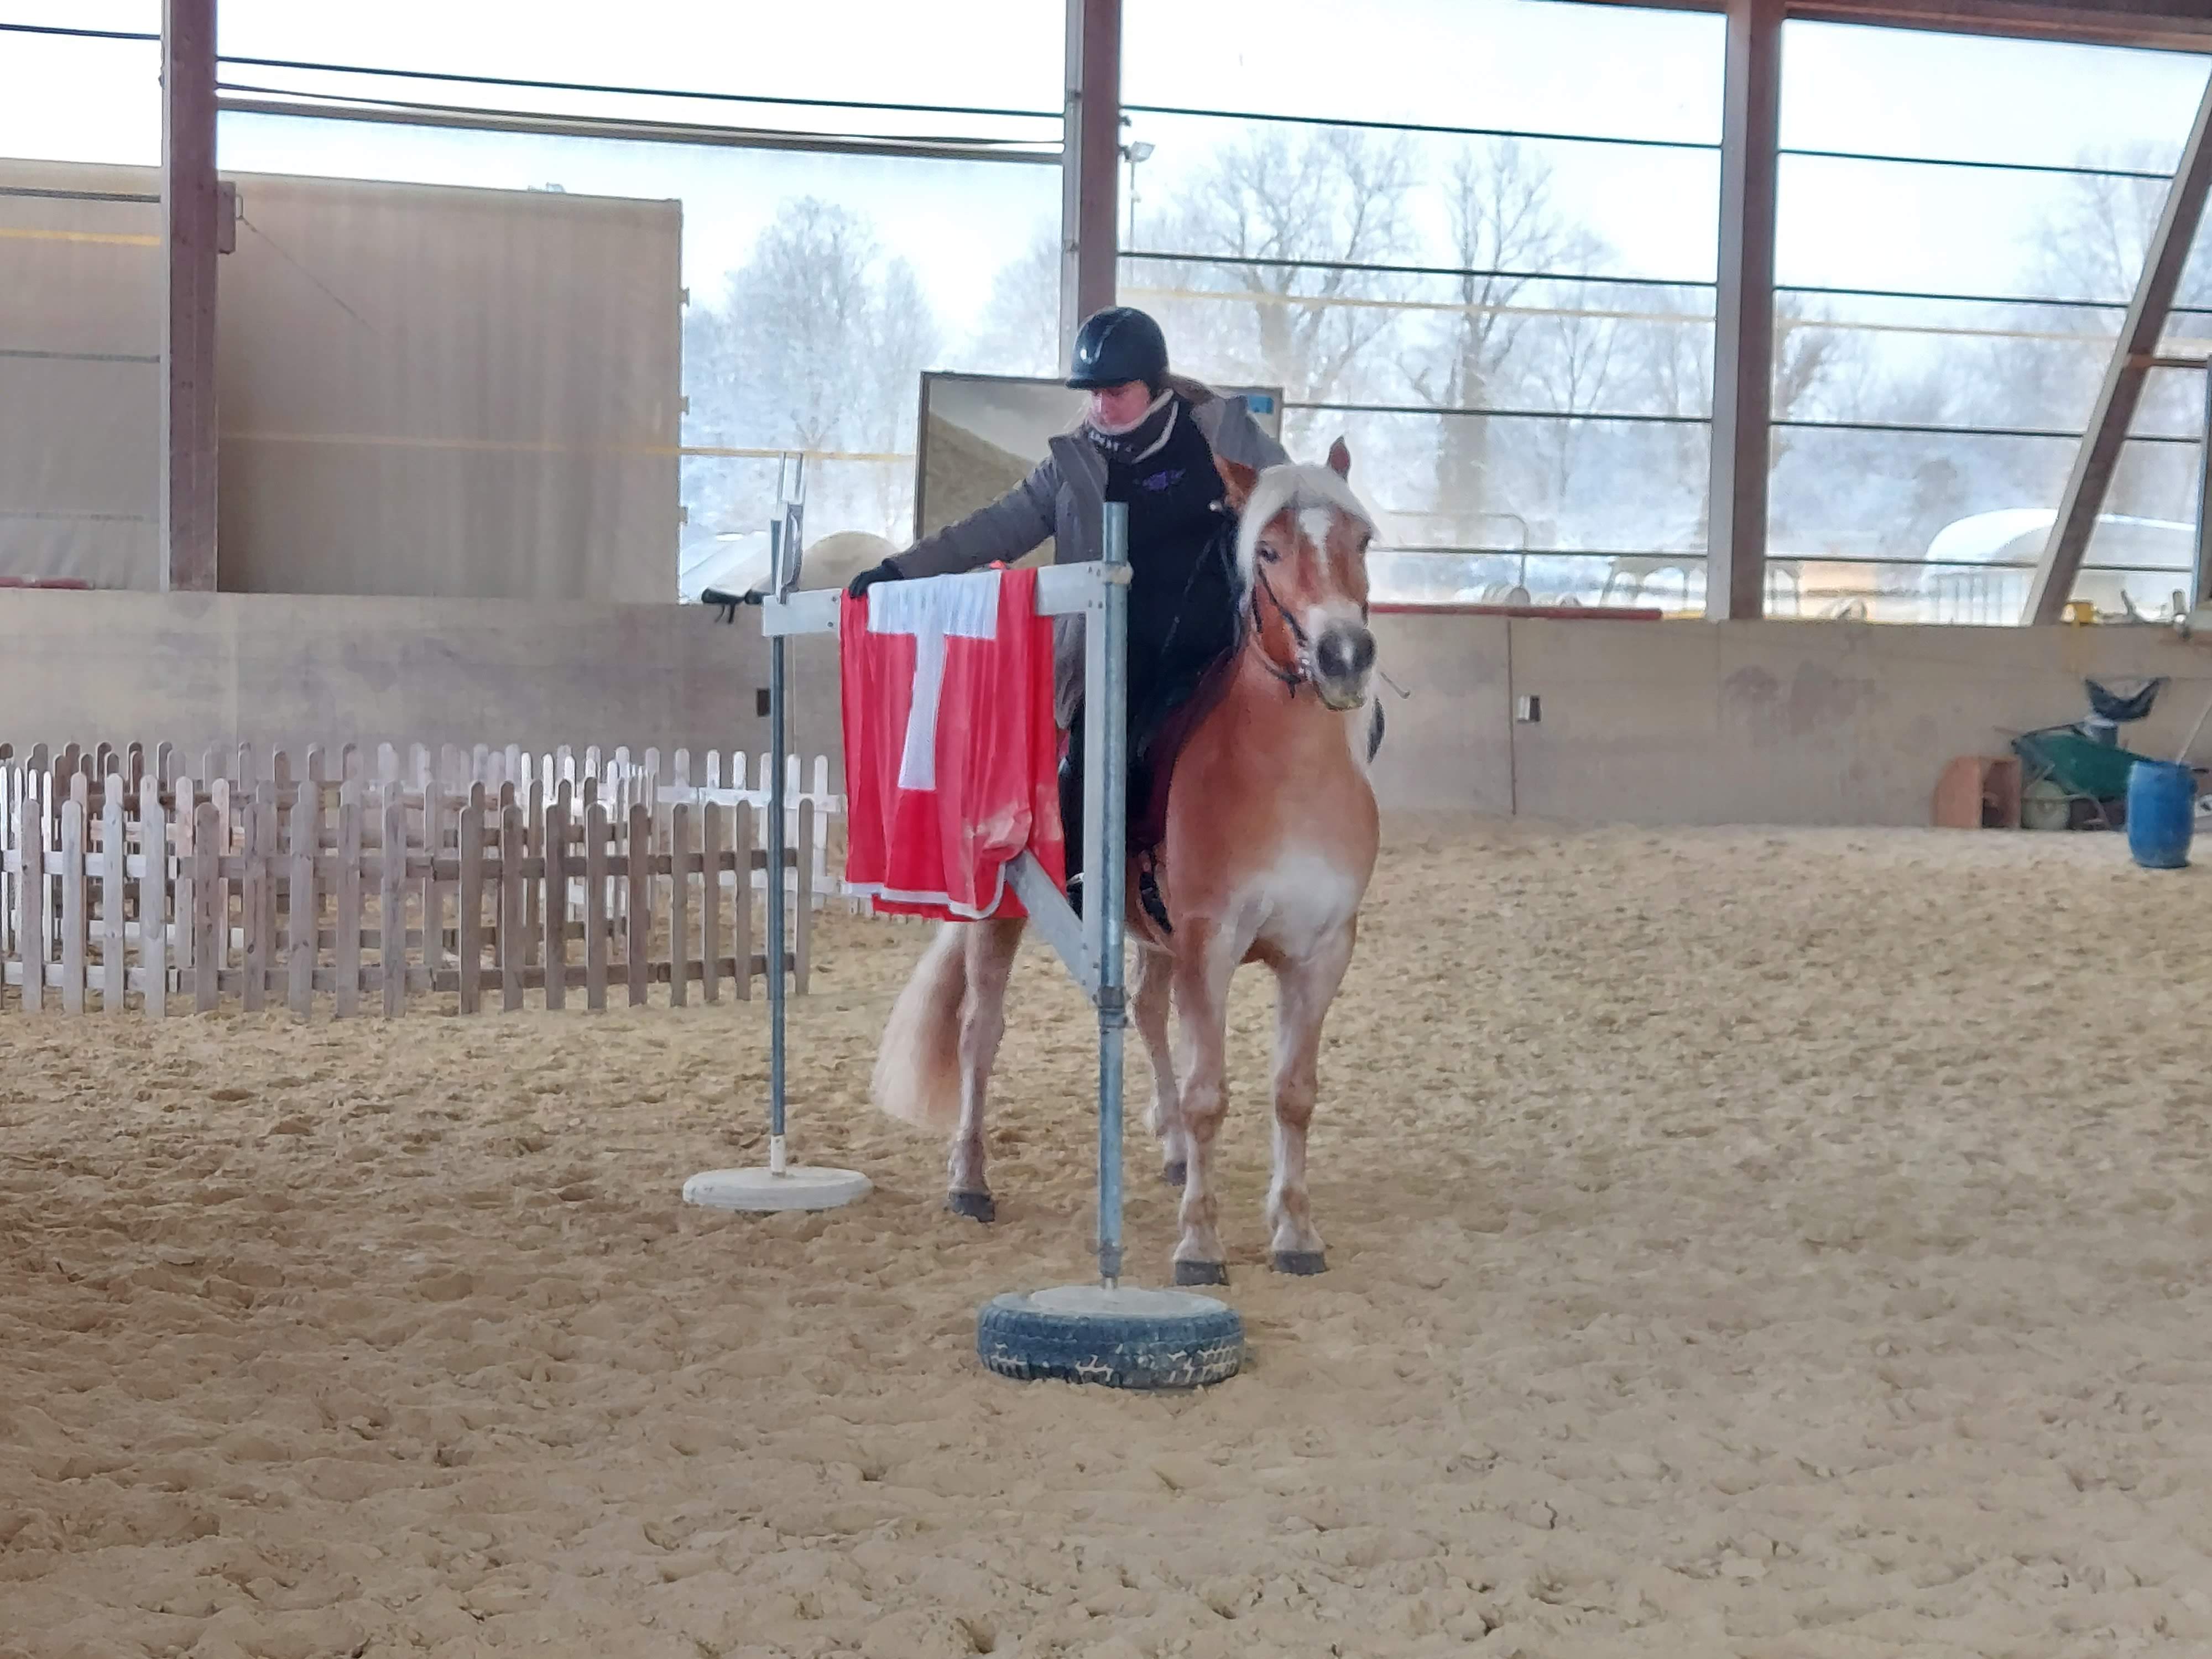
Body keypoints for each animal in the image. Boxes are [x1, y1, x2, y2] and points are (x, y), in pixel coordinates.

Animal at [868, 437, 1384, 1286]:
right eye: (1268, 550)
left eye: (1362, 542)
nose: (1345, 655)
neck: (1286, 776)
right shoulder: (1211, 947)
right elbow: (1212, 1094)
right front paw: (1200, 1246)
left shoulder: (1320, 953)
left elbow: (1294, 1093)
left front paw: (1296, 1233)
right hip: (1004, 915)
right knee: (981, 1032)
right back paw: (970, 1180)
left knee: (1142, 1010)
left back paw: (1171, 1148)